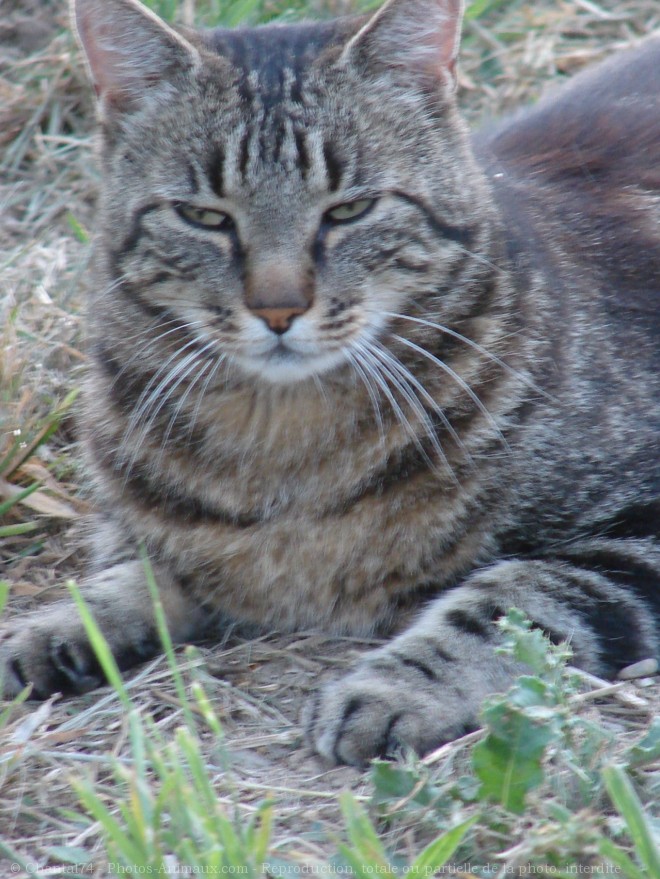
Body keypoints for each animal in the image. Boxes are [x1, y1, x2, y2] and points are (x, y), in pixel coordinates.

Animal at [1, 0, 660, 768]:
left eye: (350, 210)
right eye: (203, 216)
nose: (278, 308)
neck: (281, 440)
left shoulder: (639, 522)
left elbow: (510, 599)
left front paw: (395, 688)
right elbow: (138, 567)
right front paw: (64, 623)